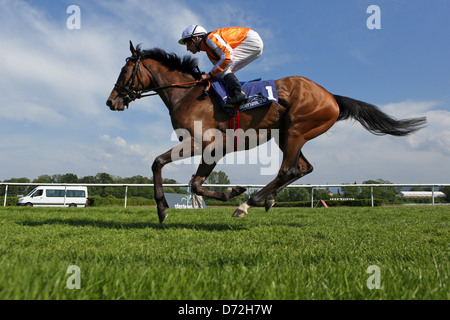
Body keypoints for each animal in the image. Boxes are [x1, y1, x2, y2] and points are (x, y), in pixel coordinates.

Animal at [107, 42, 428, 222]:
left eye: (124, 72)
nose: (111, 101)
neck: (188, 93)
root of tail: (332, 96)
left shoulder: (208, 144)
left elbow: (180, 175)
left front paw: (230, 194)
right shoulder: (204, 146)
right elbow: (176, 173)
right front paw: (166, 208)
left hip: (296, 129)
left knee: (289, 169)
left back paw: (249, 203)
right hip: (288, 134)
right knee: (303, 167)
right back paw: (267, 199)